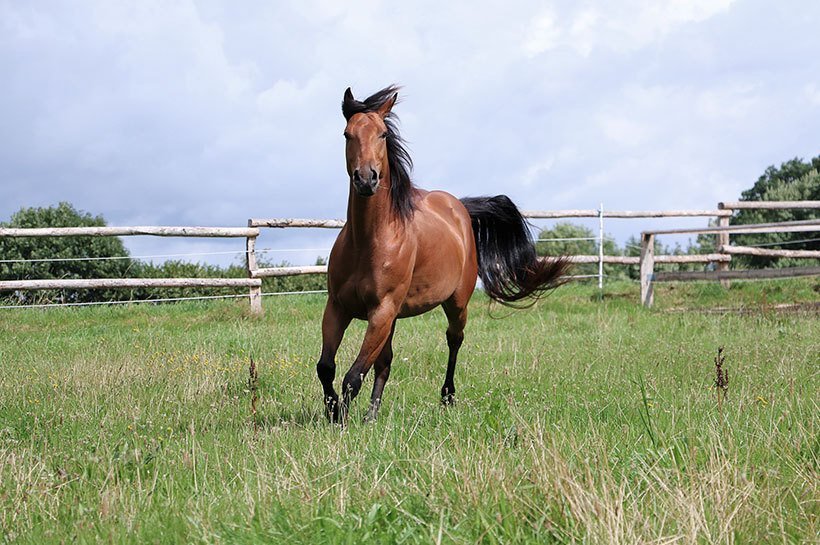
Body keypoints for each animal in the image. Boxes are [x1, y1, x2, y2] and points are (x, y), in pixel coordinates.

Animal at [318, 86, 568, 424]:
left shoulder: (381, 311)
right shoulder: (339, 307)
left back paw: (447, 397)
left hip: (456, 302)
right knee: (385, 361)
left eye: (383, 134)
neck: (368, 241)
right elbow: (327, 367)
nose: (366, 179)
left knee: (454, 340)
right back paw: (372, 414)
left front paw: (340, 420)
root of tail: (459, 207)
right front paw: (334, 412)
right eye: (348, 134)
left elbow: (353, 376)